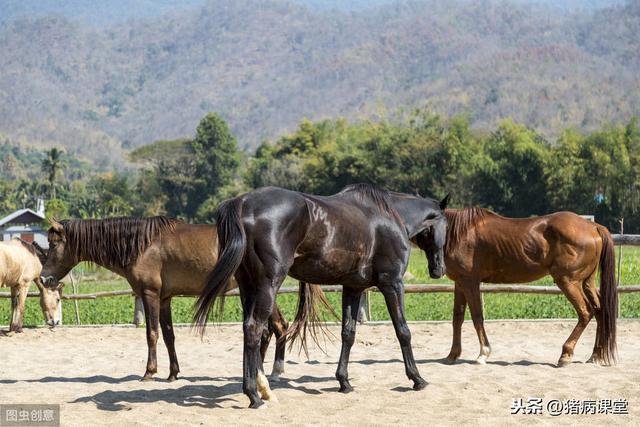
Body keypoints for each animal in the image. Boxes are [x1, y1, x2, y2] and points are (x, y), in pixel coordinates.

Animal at [40, 219, 290, 382]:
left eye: (53, 244)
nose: (44, 278)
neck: (143, 245)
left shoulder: (150, 294)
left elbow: (152, 334)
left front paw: (149, 372)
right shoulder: (164, 299)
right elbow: (169, 335)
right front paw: (173, 373)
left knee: (277, 327)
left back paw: (272, 372)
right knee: (270, 330)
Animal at [442, 208, 616, 368]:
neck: (459, 232)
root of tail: (594, 226)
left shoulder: (470, 281)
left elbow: (477, 316)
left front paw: (483, 354)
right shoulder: (460, 282)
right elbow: (457, 317)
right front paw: (452, 355)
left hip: (568, 282)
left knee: (586, 312)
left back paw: (565, 355)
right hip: (587, 282)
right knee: (600, 310)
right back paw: (595, 356)